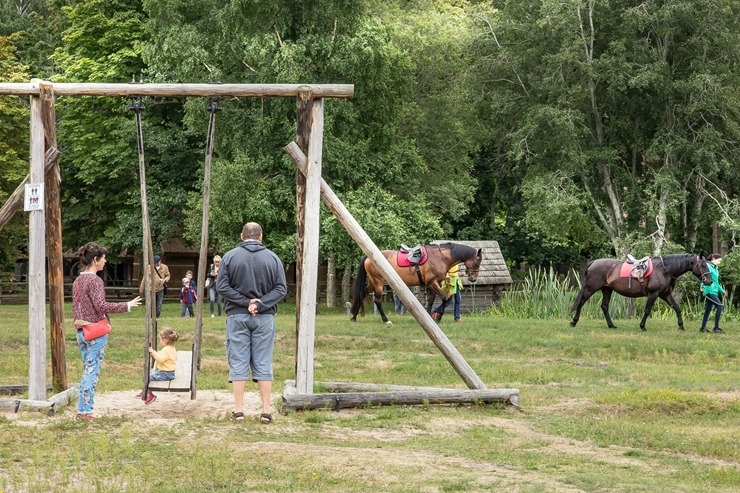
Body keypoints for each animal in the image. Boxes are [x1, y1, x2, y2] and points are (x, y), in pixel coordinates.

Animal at [350, 241, 482, 324]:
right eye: (477, 262)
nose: (473, 279)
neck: (440, 257)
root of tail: (368, 257)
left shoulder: (435, 284)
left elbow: (431, 302)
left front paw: (431, 318)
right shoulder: (432, 283)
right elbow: (445, 298)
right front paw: (438, 317)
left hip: (373, 283)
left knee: (362, 295)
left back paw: (354, 316)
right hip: (378, 283)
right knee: (377, 301)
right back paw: (385, 320)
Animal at [568, 254, 712, 330]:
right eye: (703, 265)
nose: (709, 281)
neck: (664, 270)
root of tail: (593, 262)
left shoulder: (665, 295)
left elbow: (677, 308)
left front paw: (681, 326)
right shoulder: (653, 294)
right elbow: (647, 310)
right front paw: (642, 326)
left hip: (607, 289)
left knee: (604, 306)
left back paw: (611, 325)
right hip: (591, 288)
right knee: (581, 302)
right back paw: (573, 322)